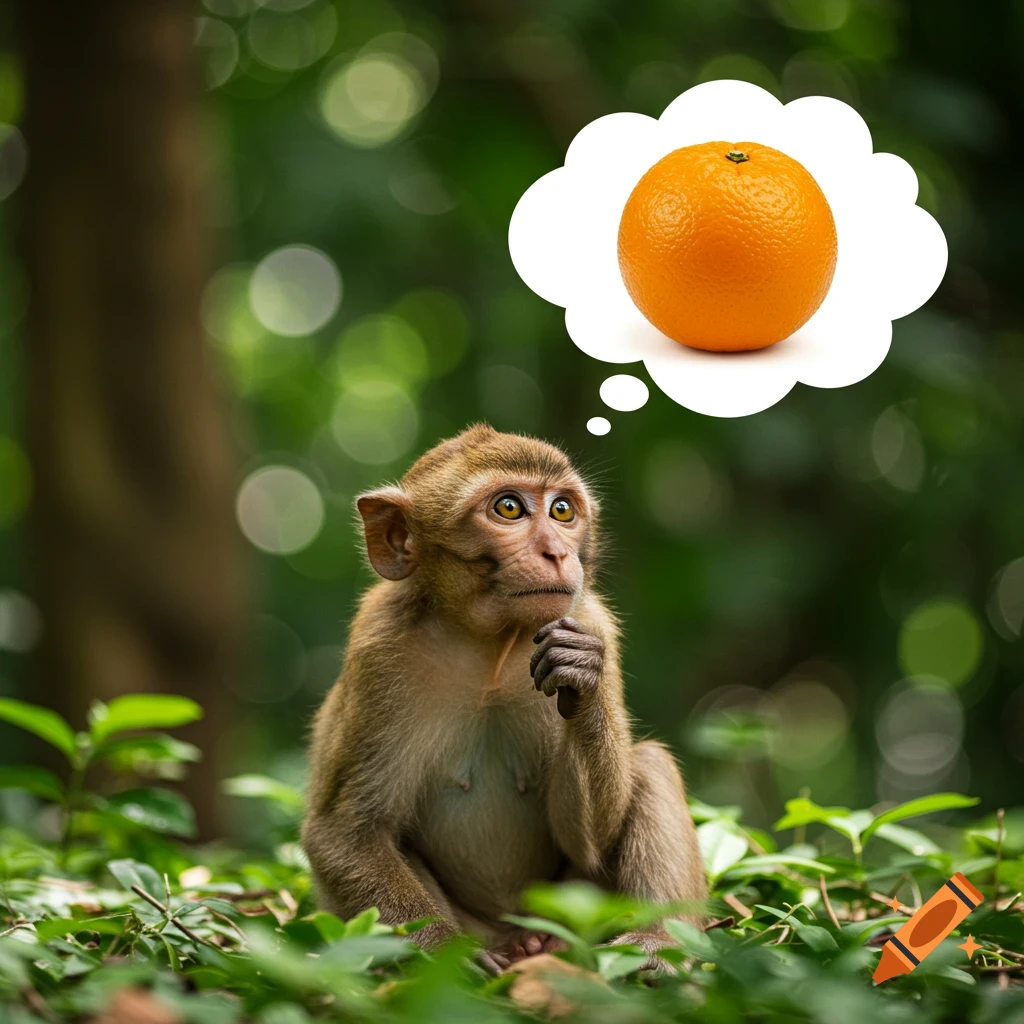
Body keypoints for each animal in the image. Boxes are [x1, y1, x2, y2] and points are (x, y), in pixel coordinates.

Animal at [302, 424, 707, 971]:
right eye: (509, 508)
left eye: (562, 510)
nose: (558, 553)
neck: (488, 648)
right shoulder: (378, 649)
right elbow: (346, 834)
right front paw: (449, 959)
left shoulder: (593, 619)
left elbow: (591, 841)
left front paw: (582, 674)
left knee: (649, 763)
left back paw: (657, 942)